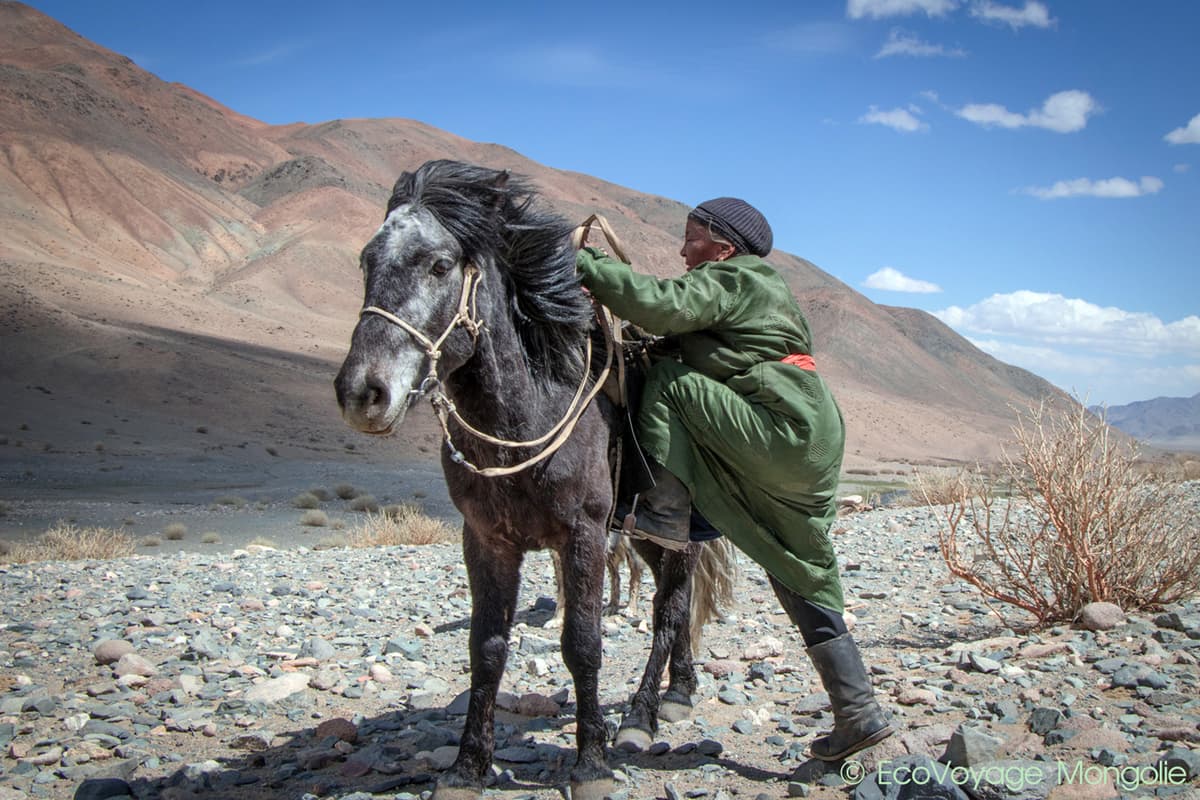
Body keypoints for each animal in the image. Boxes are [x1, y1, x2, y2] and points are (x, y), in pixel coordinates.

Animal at [333, 159, 734, 796]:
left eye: (439, 265)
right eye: (367, 261)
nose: (362, 393)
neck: (532, 410)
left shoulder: (584, 536)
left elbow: (583, 644)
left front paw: (591, 761)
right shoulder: (486, 539)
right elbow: (487, 646)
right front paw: (468, 766)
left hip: (677, 536)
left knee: (670, 611)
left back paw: (643, 715)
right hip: (643, 535)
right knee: (674, 602)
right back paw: (680, 690)